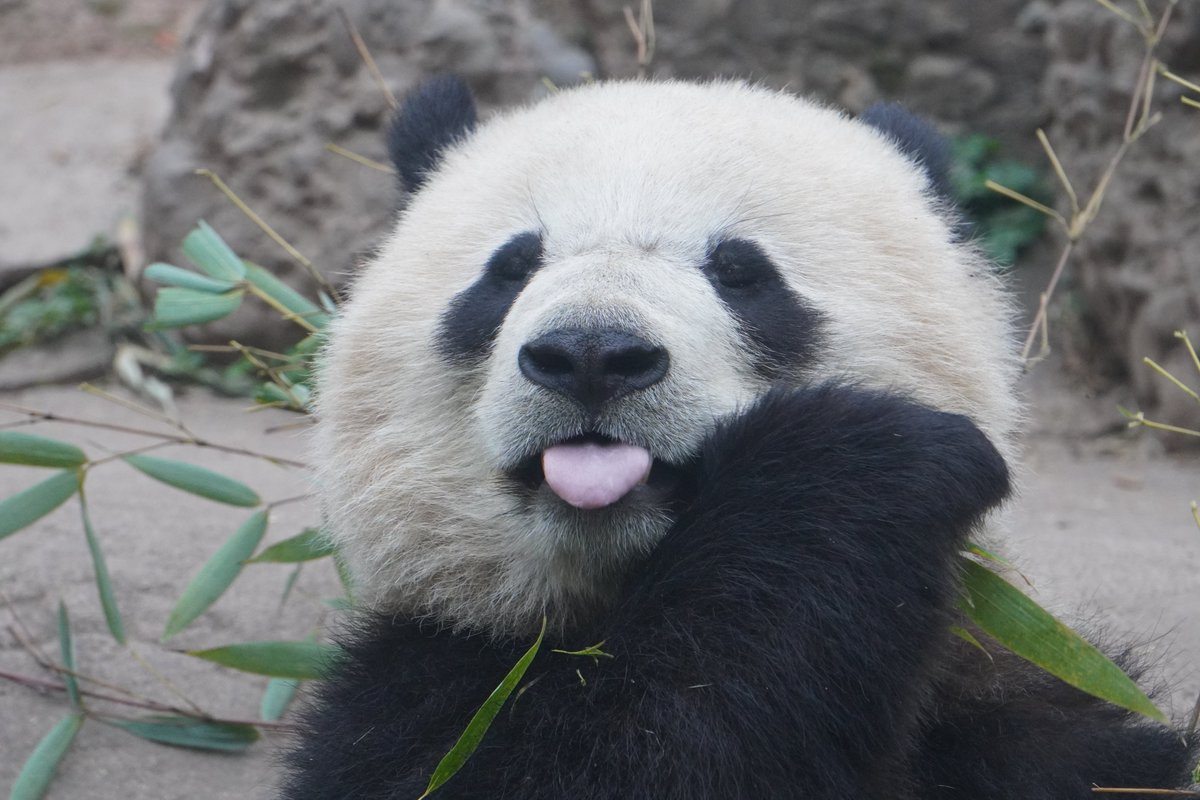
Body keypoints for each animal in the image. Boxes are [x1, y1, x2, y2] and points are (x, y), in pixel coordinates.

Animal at [280, 77, 1195, 799]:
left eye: (740, 270)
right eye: (509, 268)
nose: (592, 355)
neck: (615, 601)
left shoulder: (1012, 707)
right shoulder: (433, 676)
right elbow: (629, 748)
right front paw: (852, 459)